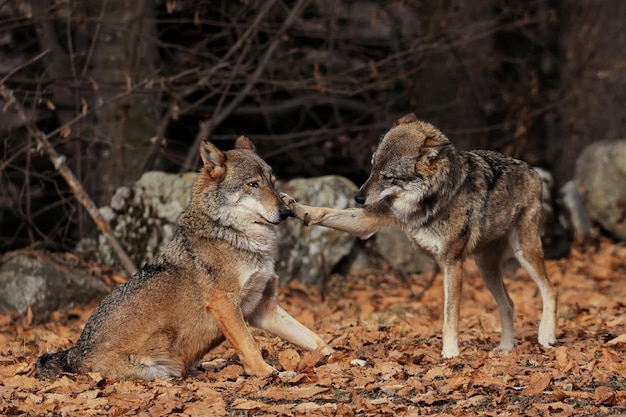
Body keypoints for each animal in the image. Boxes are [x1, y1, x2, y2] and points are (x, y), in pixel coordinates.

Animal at [37, 137, 332, 380]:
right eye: (253, 184)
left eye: (273, 182)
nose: (286, 212)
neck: (235, 235)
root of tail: (74, 354)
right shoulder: (225, 305)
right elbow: (250, 345)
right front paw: (268, 373)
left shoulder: (264, 309)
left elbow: (313, 338)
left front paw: (333, 355)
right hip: (162, 370)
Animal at [282, 114, 556, 358]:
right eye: (373, 167)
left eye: (388, 176)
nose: (358, 198)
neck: (432, 200)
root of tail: (533, 171)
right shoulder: (370, 221)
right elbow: (325, 212)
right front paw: (297, 208)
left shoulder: (452, 264)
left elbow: (450, 316)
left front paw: (450, 354)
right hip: (486, 268)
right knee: (509, 304)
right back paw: (506, 349)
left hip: (524, 254)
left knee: (550, 291)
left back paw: (546, 335)